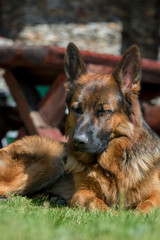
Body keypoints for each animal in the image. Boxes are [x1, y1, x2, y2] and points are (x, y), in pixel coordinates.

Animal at [0, 43, 160, 214]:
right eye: (77, 109)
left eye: (104, 111)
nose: (78, 141)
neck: (111, 169)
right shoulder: (82, 193)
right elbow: (96, 203)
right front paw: (115, 215)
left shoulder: (156, 194)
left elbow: (146, 205)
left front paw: (135, 214)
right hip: (53, 157)